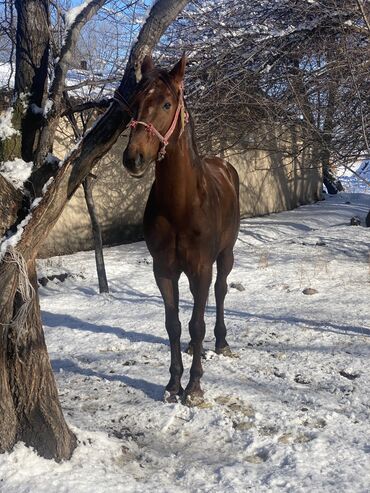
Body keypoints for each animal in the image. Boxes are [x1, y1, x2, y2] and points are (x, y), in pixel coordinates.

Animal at [122, 55, 240, 406]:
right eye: (134, 103)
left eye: (166, 103)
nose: (133, 158)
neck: (181, 204)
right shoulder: (164, 269)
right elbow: (173, 324)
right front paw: (173, 384)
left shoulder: (202, 267)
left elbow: (197, 324)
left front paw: (195, 387)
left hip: (225, 256)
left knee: (220, 291)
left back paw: (221, 342)